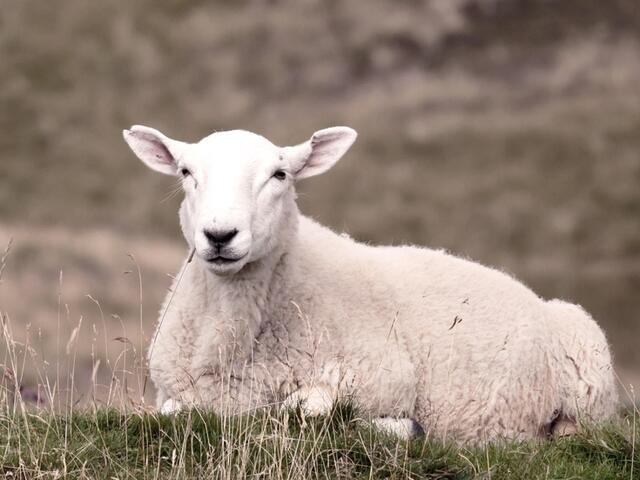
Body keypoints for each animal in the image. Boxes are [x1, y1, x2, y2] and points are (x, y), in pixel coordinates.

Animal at [122, 124, 618, 443]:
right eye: (186, 172)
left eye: (280, 174)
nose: (220, 235)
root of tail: (532, 294)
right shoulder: (174, 392)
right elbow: (174, 411)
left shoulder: (385, 378)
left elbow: (304, 410)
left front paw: (401, 428)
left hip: (590, 375)